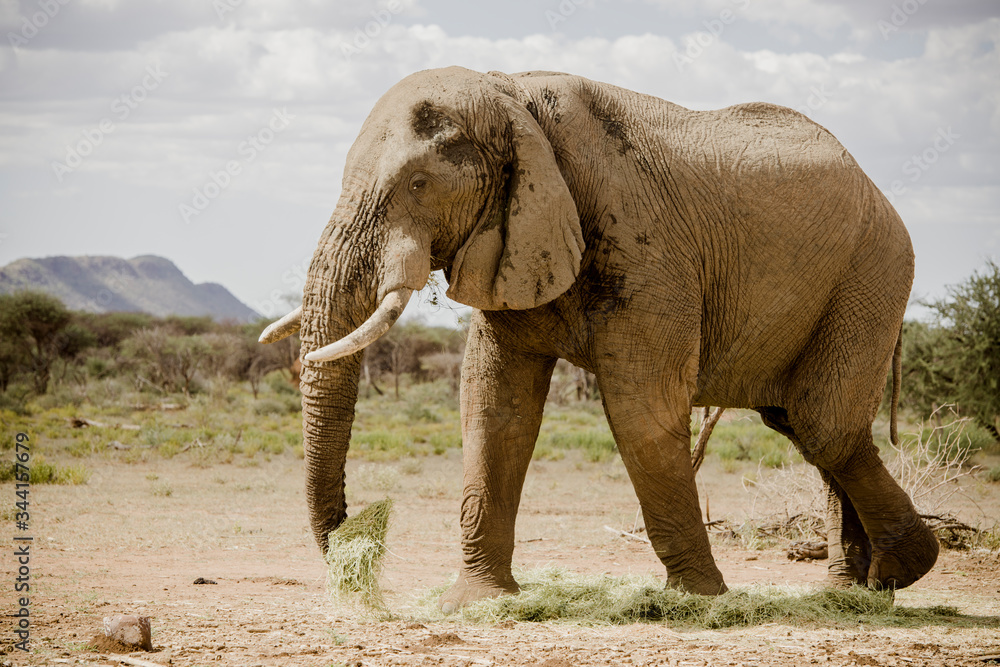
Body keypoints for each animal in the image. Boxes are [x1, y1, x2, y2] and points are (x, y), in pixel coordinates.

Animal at [259, 66, 938, 612]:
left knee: (822, 424)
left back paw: (902, 572)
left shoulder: (646, 247)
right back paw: (855, 591)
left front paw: (698, 601)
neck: (511, 98)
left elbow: (641, 412)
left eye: (419, 183)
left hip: (872, 275)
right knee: (802, 426)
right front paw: (475, 601)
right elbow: (494, 408)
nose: (355, 536)